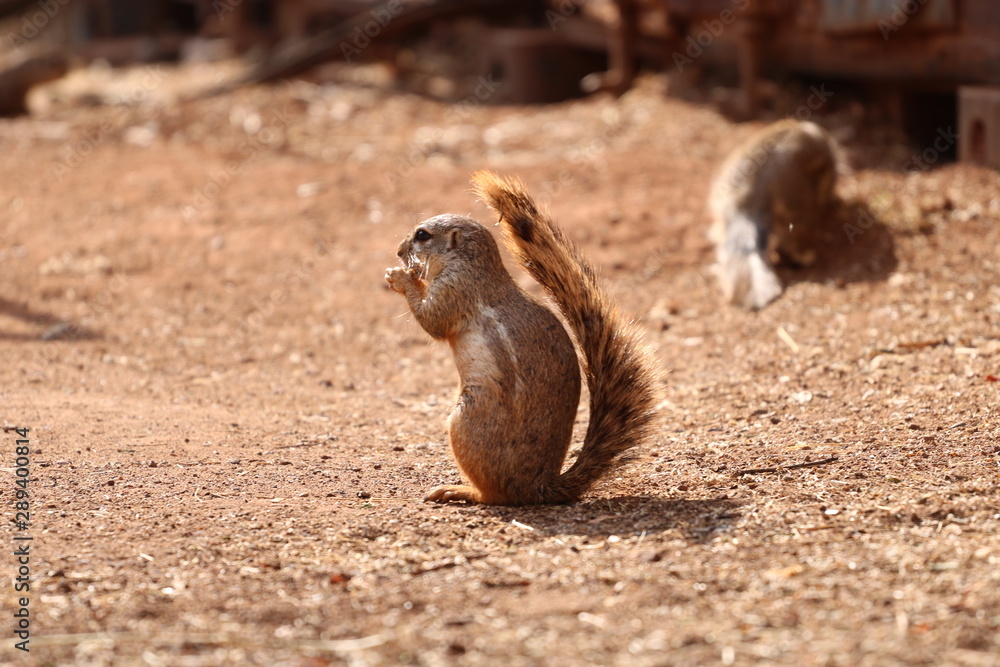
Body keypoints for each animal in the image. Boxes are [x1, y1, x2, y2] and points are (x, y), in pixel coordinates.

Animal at [385, 171, 659, 506]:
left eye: (422, 235)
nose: (399, 251)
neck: (471, 265)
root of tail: (539, 487)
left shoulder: (455, 290)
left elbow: (433, 321)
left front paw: (401, 277)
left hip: (465, 422)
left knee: (493, 495)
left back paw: (458, 490)